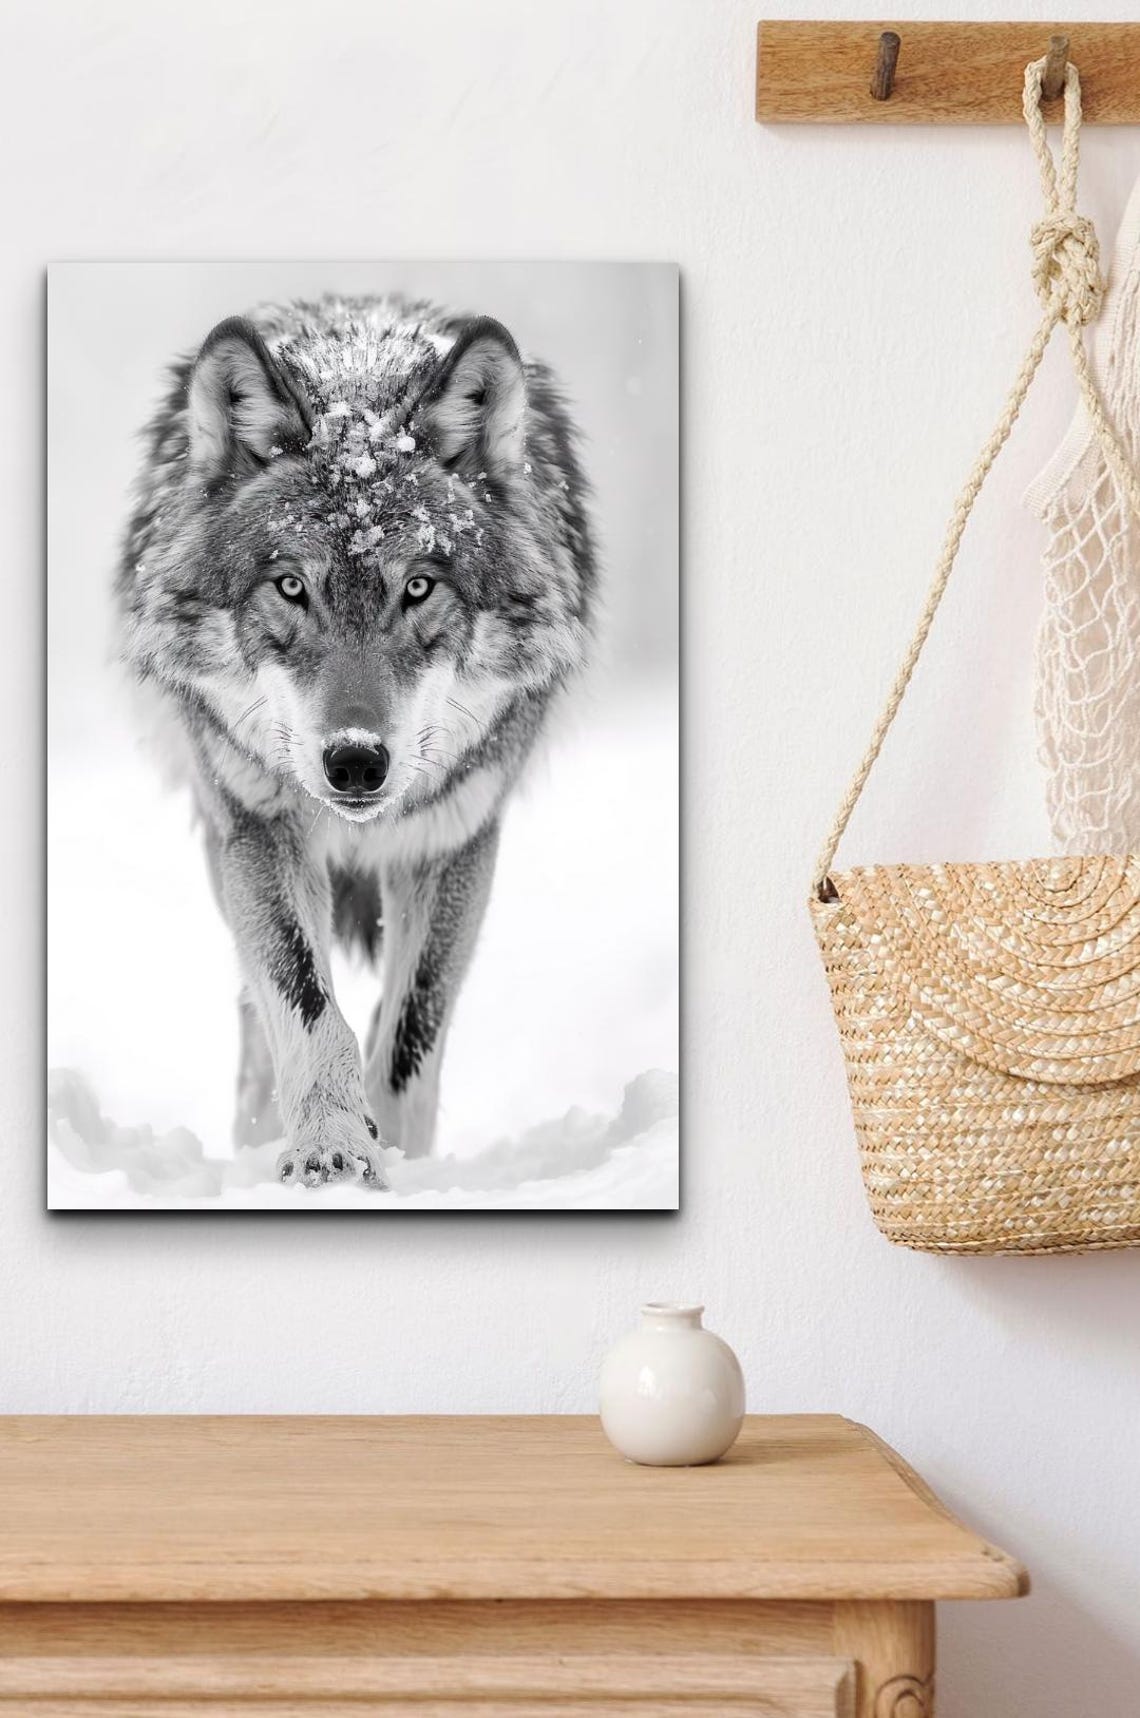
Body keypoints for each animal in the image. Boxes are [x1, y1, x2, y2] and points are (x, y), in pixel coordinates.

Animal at [116, 295, 597, 1188]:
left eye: (419, 587)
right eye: (290, 587)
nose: (355, 761)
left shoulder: (454, 842)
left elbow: (411, 1028)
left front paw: (397, 1155)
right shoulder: (257, 826)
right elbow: (305, 1004)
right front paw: (331, 1148)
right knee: (256, 1002)